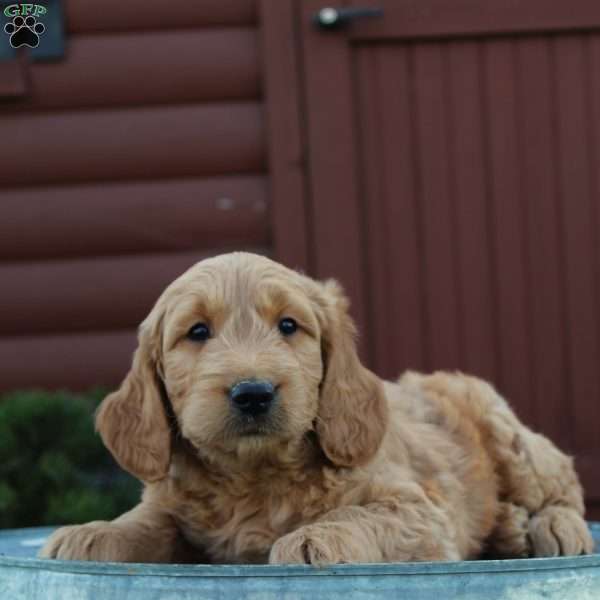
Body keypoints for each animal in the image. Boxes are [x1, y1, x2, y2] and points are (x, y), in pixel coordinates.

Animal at [38, 251, 596, 564]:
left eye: (289, 325)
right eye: (196, 332)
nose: (254, 392)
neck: (255, 478)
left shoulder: (418, 512)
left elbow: (355, 516)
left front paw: (312, 540)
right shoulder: (173, 507)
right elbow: (146, 524)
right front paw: (93, 533)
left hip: (510, 436)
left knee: (563, 486)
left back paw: (546, 528)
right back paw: (511, 529)